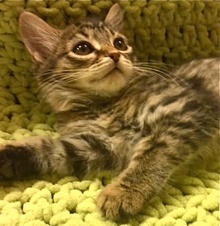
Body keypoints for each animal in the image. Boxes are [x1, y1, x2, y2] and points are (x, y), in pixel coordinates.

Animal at [0, 3, 220, 219]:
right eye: (82, 48)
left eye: (120, 43)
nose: (115, 54)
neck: (103, 105)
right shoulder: (98, 147)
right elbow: (48, 148)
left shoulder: (184, 111)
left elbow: (152, 153)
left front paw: (123, 193)